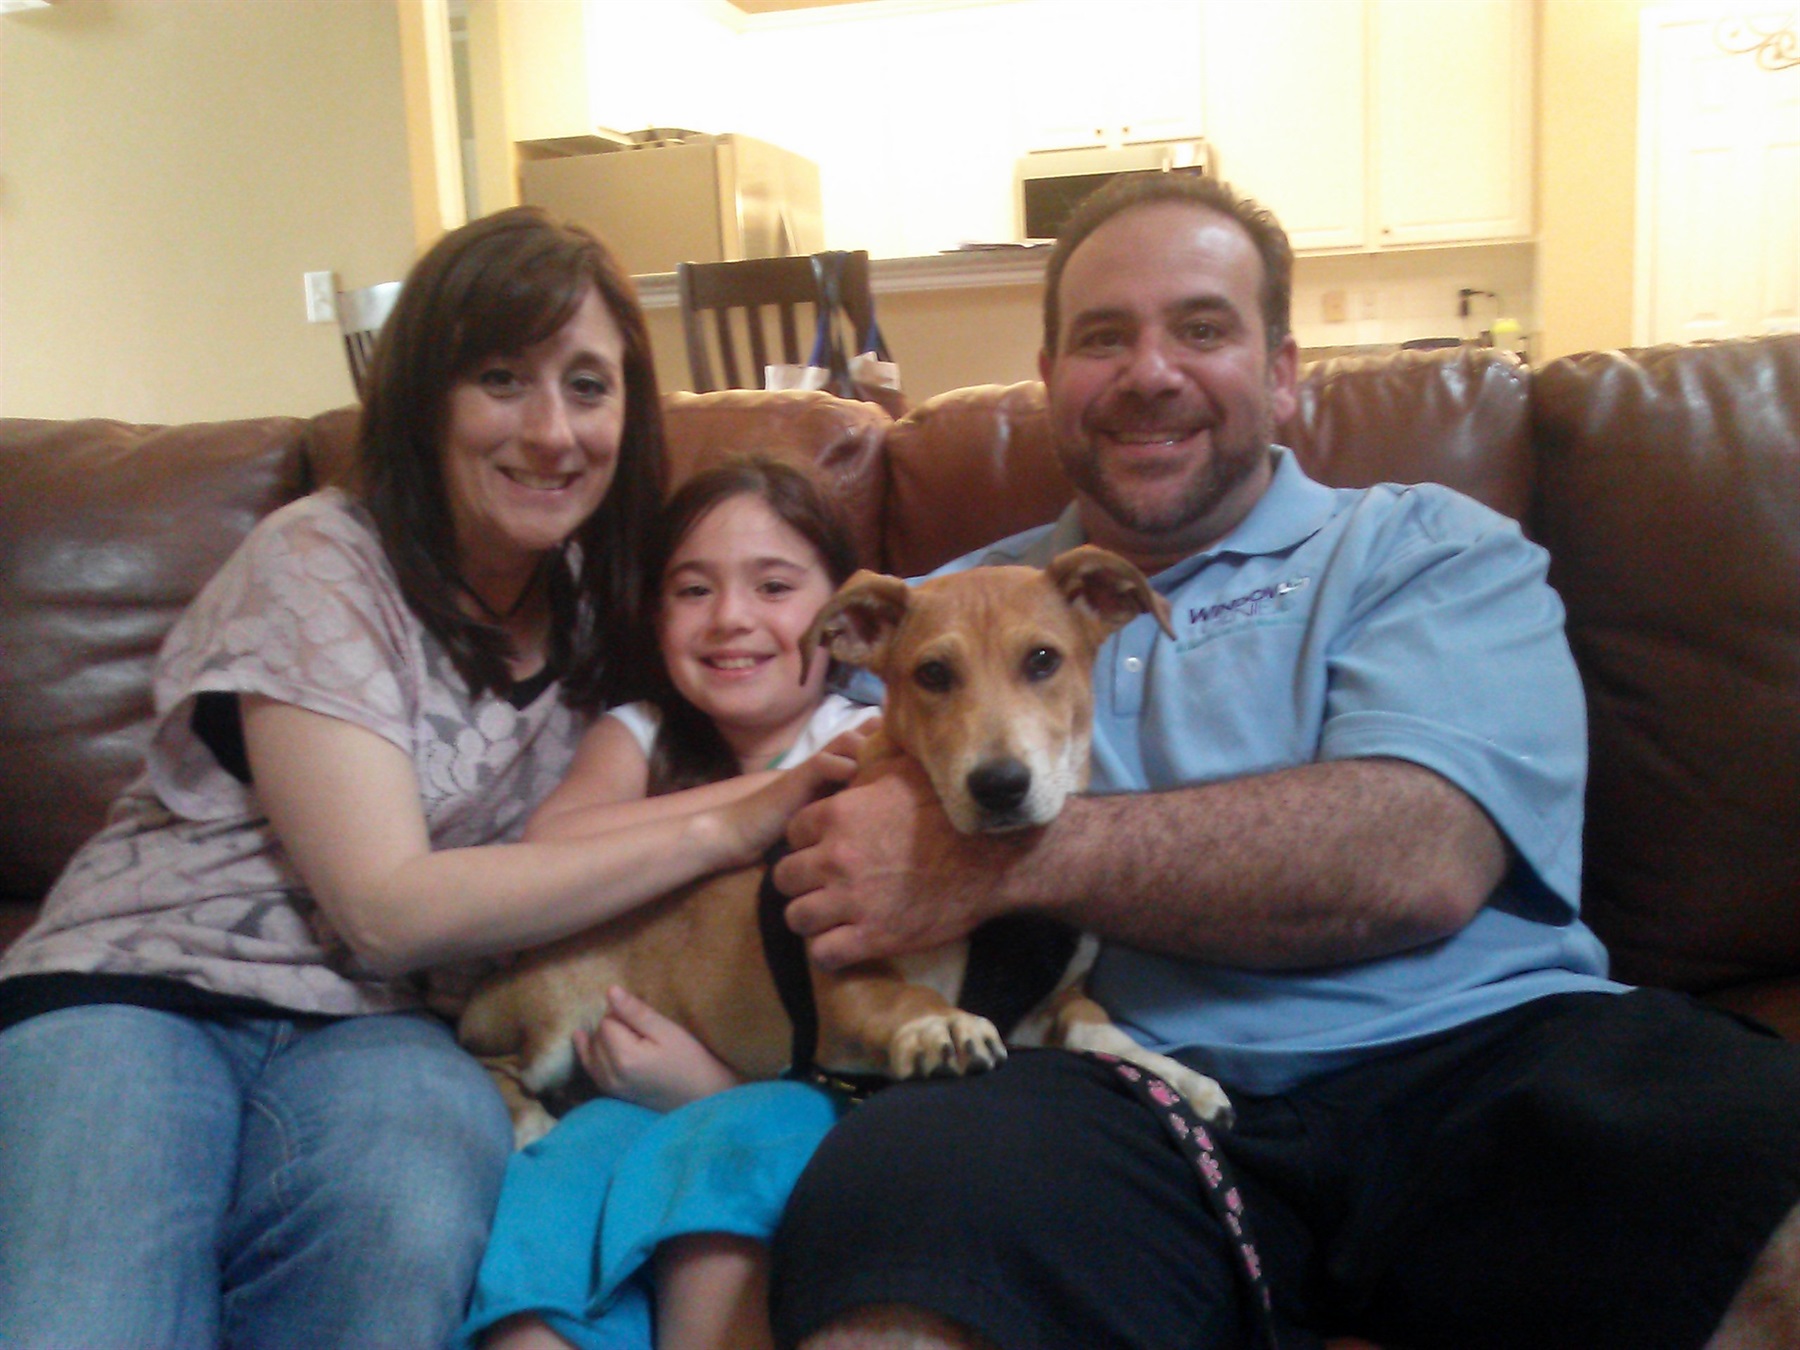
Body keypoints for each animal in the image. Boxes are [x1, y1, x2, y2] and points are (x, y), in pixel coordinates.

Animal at [459, 545, 1231, 1146]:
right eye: (932, 674)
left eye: (1043, 660)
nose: (1000, 787)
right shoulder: (839, 969)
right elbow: (898, 995)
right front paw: (941, 1024)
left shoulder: (1056, 1001)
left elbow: (1110, 1034)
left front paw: (1185, 1079)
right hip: (550, 1025)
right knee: (494, 1066)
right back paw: (530, 1120)